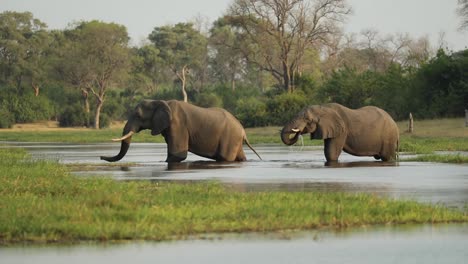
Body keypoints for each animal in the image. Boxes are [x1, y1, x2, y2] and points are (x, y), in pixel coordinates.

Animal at [100, 99, 262, 163]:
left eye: (138, 116)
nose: (101, 157)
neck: (161, 101)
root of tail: (243, 131)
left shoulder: (178, 126)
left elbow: (177, 155)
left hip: (229, 137)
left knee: (224, 158)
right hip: (235, 140)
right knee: (240, 157)